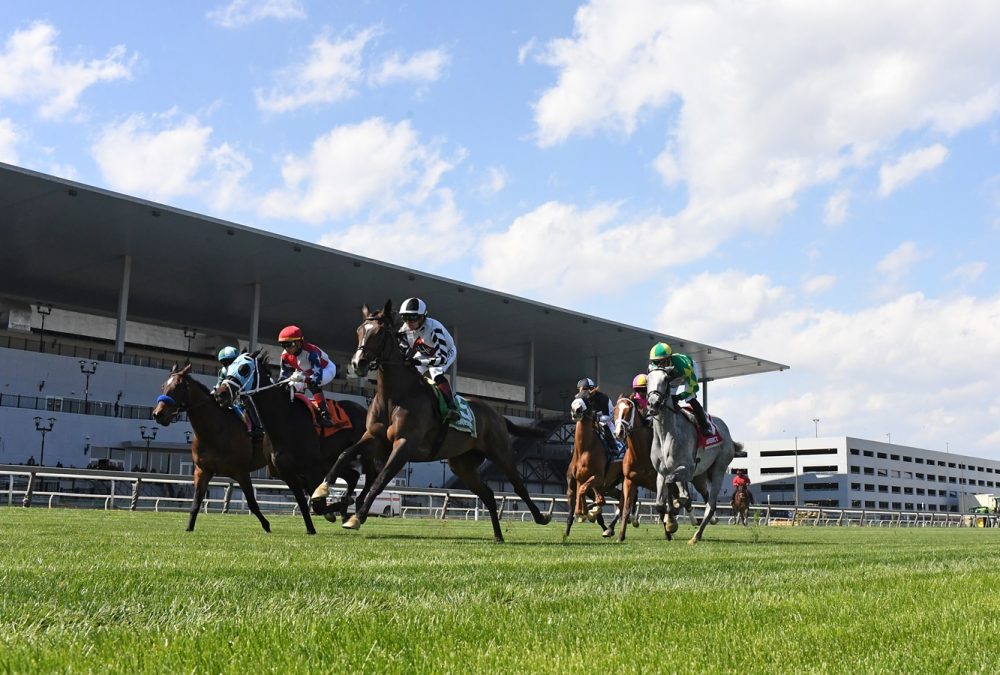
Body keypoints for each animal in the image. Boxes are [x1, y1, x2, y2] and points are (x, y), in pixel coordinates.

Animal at [151, 364, 274, 532]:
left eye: (178, 386)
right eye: (163, 386)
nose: (158, 414)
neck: (216, 430)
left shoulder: (241, 472)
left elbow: (252, 503)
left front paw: (267, 526)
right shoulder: (202, 471)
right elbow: (196, 502)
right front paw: (189, 528)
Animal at [215, 352, 376, 536]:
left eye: (244, 369)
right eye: (229, 367)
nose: (220, 394)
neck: (285, 420)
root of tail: (364, 410)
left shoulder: (312, 470)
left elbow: (318, 505)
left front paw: (339, 507)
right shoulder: (287, 473)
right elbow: (304, 501)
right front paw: (311, 528)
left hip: (362, 452)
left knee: (371, 474)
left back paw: (358, 507)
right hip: (332, 461)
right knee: (354, 476)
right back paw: (346, 510)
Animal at [314, 302, 556, 544]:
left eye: (380, 332)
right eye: (359, 330)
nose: (358, 363)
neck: (396, 396)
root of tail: (496, 414)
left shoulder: (404, 444)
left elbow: (380, 480)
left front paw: (356, 517)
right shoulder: (374, 439)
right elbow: (345, 454)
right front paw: (321, 490)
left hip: (500, 453)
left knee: (519, 486)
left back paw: (541, 517)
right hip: (462, 465)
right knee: (488, 495)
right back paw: (498, 536)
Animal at [564, 388, 624, 540]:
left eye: (589, 399)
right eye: (576, 396)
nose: (576, 410)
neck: (584, 449)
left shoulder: (597, 478)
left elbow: (584, 492)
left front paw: (585, 512)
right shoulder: (574, 484)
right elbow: (577, 500)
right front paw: (567, 531)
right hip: (610, 486)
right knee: (619, 497)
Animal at [644, 368, 740, 548]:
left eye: (666, 379)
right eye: (647, 380)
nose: (653, 404)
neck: (665, 434)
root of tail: (726, 431)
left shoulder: (686, 468)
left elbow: (673, 487)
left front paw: (672, 519)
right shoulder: (661, 472)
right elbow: (660, 503)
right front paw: (670, 519)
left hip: (718, 468)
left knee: (711, 504)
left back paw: (696, 535)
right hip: (699, 474)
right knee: (690, 495)